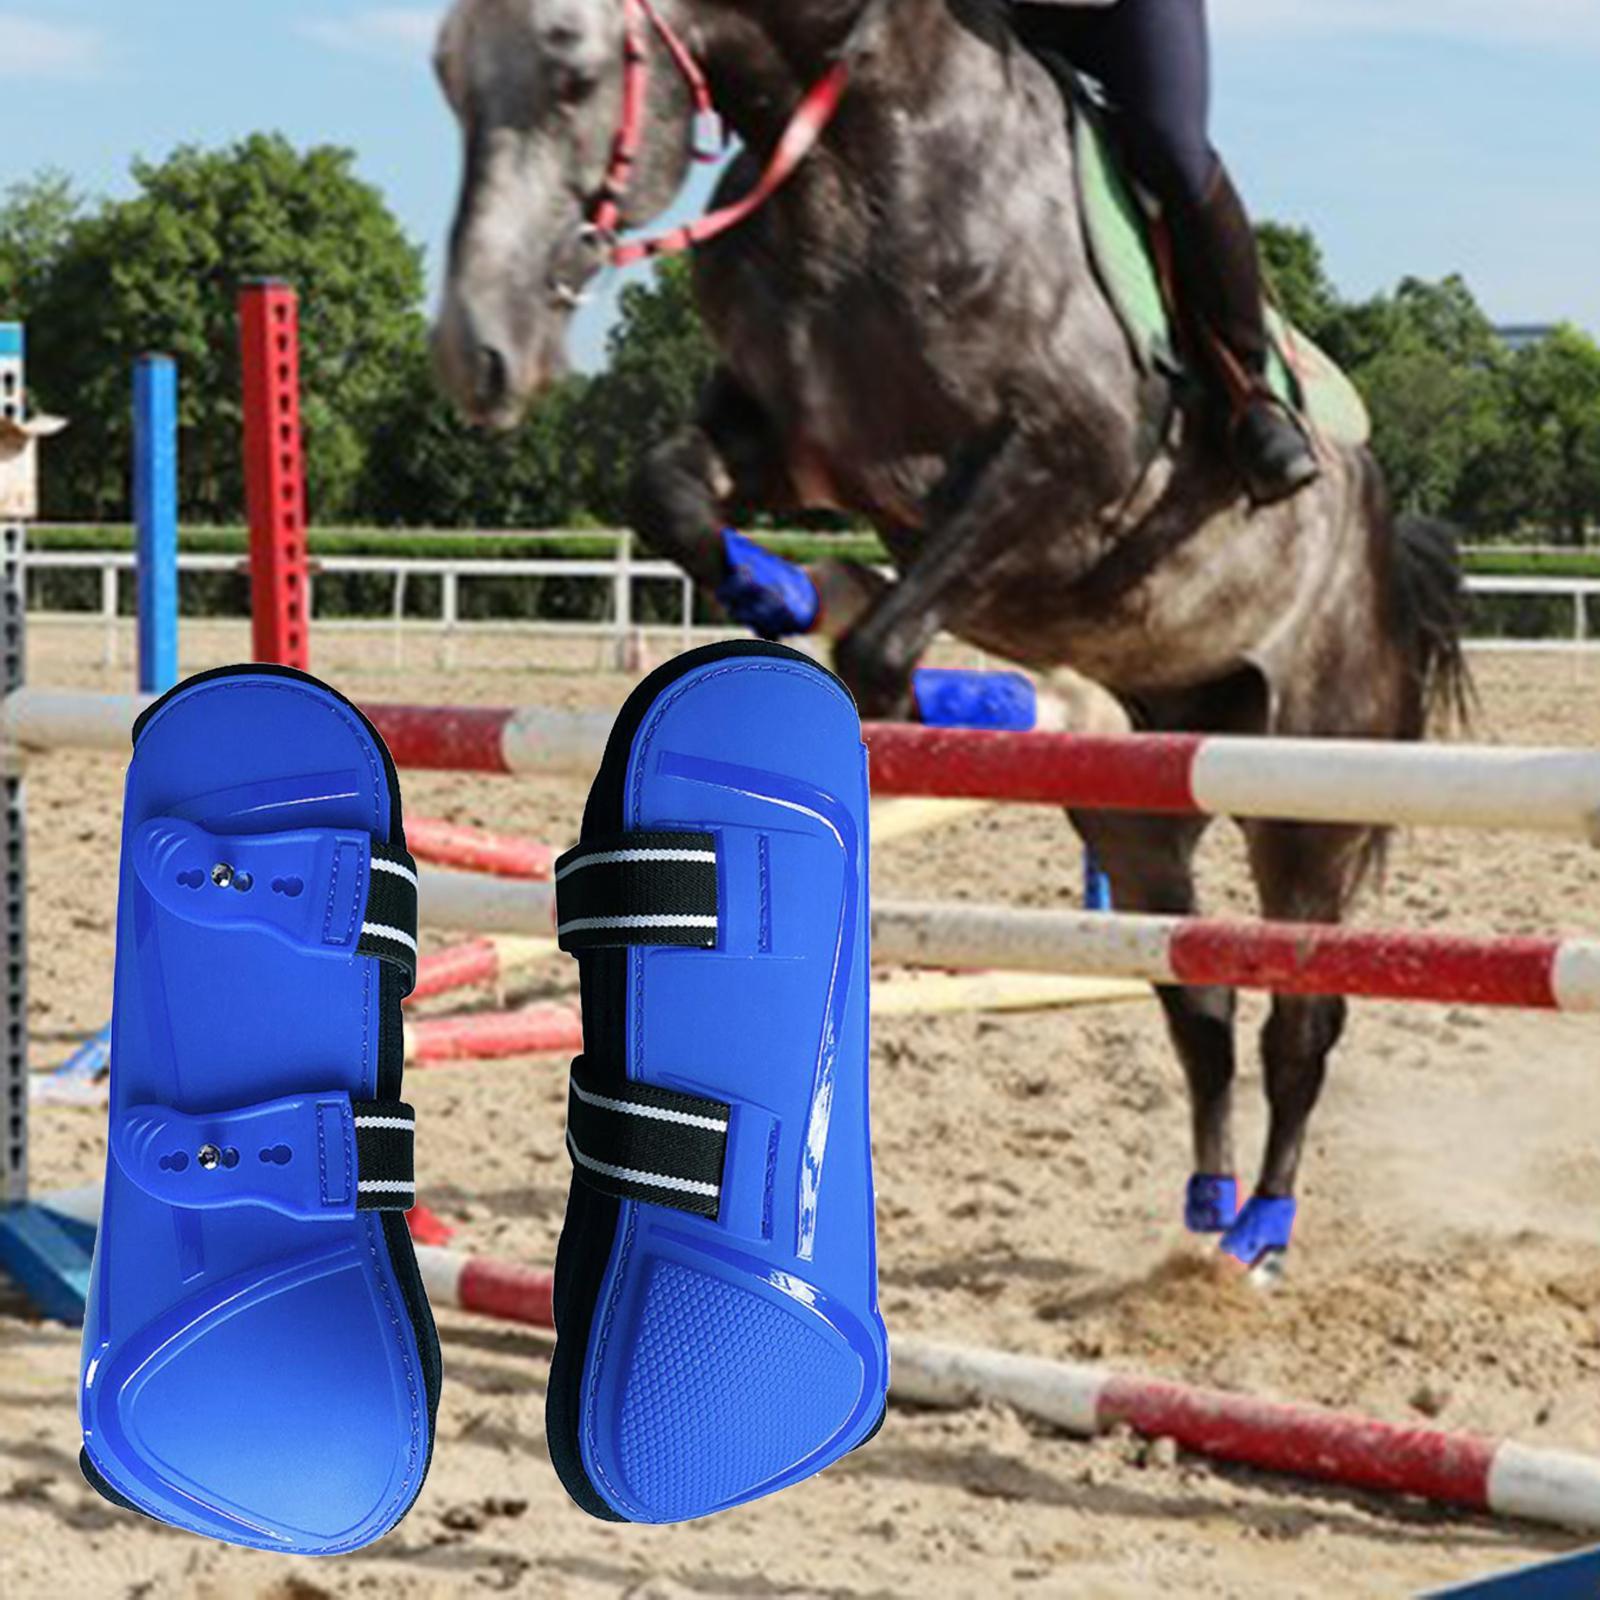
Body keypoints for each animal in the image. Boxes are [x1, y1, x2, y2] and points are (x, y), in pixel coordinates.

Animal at [429, 0, 1470, 1272]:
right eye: (446, 77)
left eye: (572, 70)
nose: (477, 354)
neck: (855, 143)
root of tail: (1380, 523)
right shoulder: (794, 436)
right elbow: (671, 493)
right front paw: (788, 591)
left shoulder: (1062, 465)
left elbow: (880, 650)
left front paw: (925, 671)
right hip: (1143, 806)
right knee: (1201, 1002)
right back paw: (1205, 1208)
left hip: (1308, 797)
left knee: (1301, 1014)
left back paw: (1260, 1234)